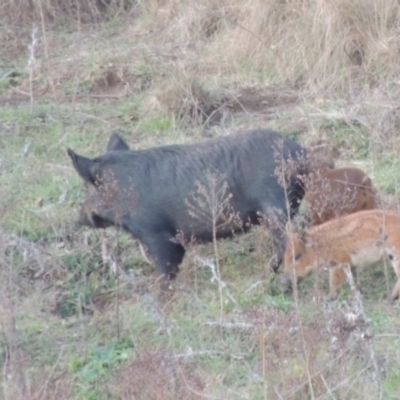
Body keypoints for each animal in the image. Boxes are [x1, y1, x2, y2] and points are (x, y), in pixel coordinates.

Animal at [68, 130, 306, 280]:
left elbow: (166, 267)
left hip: (273, 204)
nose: (78, 218)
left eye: (88, 187)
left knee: (287, 243)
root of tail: (299, 152)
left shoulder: (155, 232)